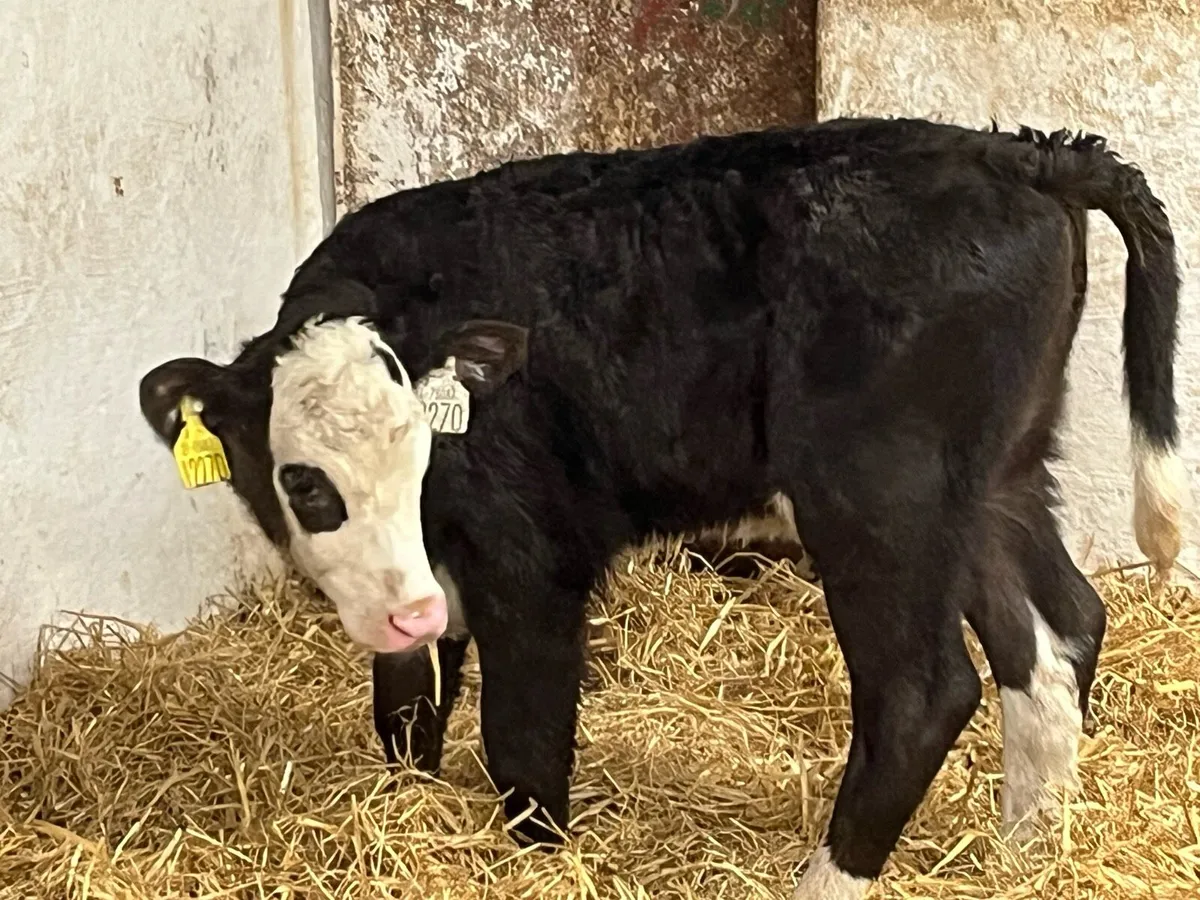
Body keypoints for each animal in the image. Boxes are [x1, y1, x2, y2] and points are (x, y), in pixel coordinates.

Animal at [137, 117, 1185, 899]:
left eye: (426, 450)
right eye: (305, 480)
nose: (414, 609)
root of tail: (1018, 152)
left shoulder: (533, 564)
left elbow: (522, 743)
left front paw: (536, 862)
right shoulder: (419, 588)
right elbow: (403, 717)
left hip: (881, 497)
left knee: (923, 692)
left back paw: (832, 877)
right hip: (993, 481)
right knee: (1057, 633)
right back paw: (1028, 854)